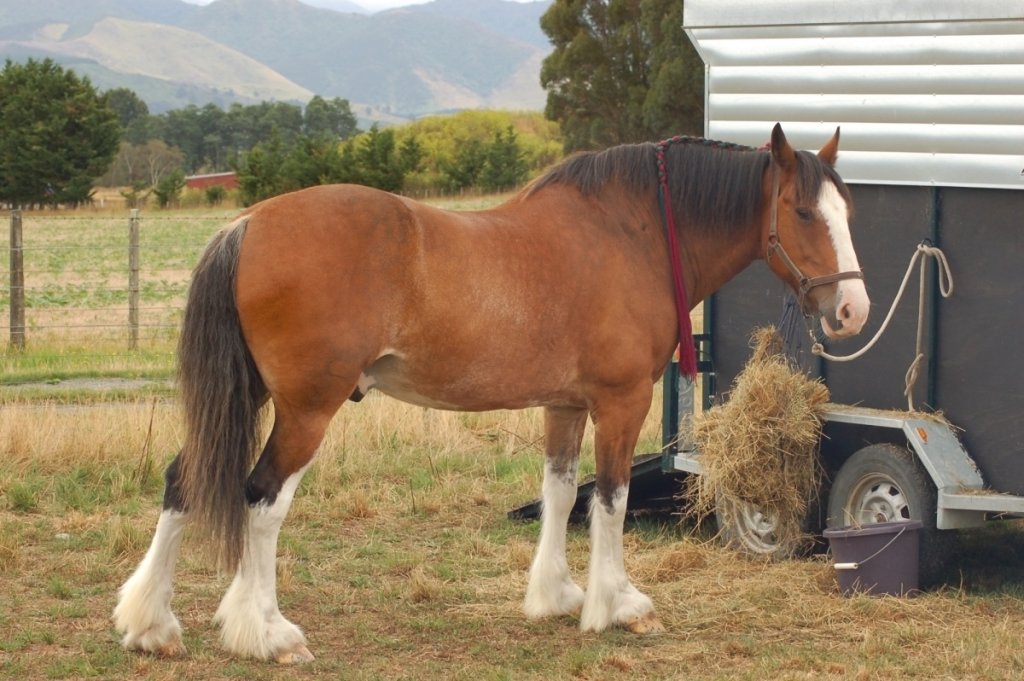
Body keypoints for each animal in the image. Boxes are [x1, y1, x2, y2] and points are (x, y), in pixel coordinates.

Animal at [113, 123, 869, 663]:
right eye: (803, 212)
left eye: (848, 210)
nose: (852, 310)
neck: (632, 234)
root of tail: (246, 225)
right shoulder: (620, 402)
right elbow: (613, 498)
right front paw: (616, 605)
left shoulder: (565, 404)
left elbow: (561, 492)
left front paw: (556, 595)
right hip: (306, 409)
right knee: (263, 501)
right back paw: (267, 632)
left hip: (253, 397)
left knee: (183, 481)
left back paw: (151, 623)